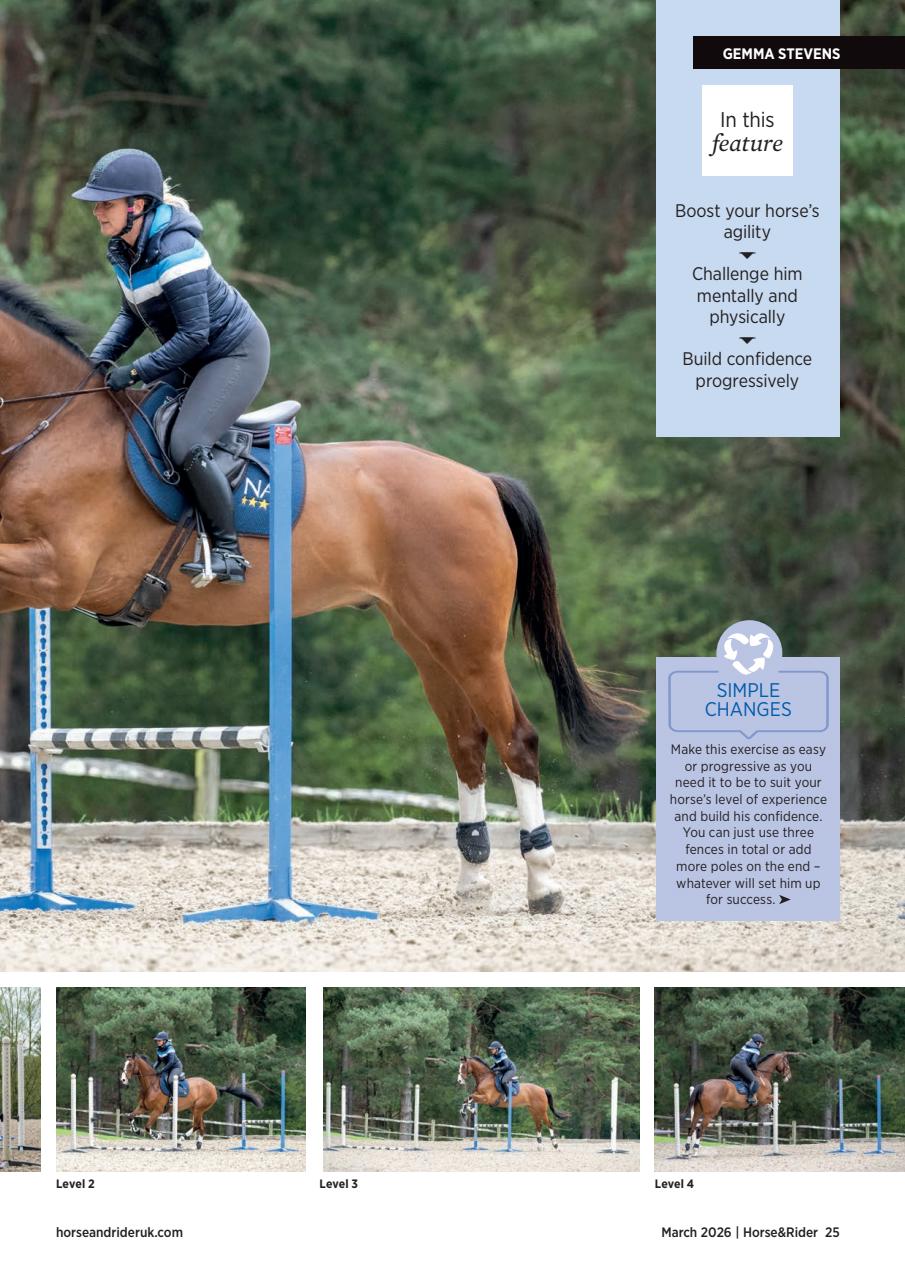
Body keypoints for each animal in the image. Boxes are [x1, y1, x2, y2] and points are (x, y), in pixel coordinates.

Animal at [0, 281, 642, 915]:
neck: (54, 428)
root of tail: (481, 482)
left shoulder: (55, 571)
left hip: (471, 645)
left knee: (516, 739)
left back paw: (543, 883)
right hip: (426, 640)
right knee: (467, 741)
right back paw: (472, 883)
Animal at [119, 1051, 262, 1148]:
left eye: (130, 1064)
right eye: (124, 1064)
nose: (123, 1080)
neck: (151, 1085)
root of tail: (212, 1086)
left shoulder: (157, 1111)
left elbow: (148, 1127)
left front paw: (158, 1136)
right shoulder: (143, 1107)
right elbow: (130, 1116)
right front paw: (136, 1130)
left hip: (198, 1108)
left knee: (197, 1125)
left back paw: (180, 1140)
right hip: (196, 1109)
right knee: (201, 1126)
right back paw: (197, 1143)